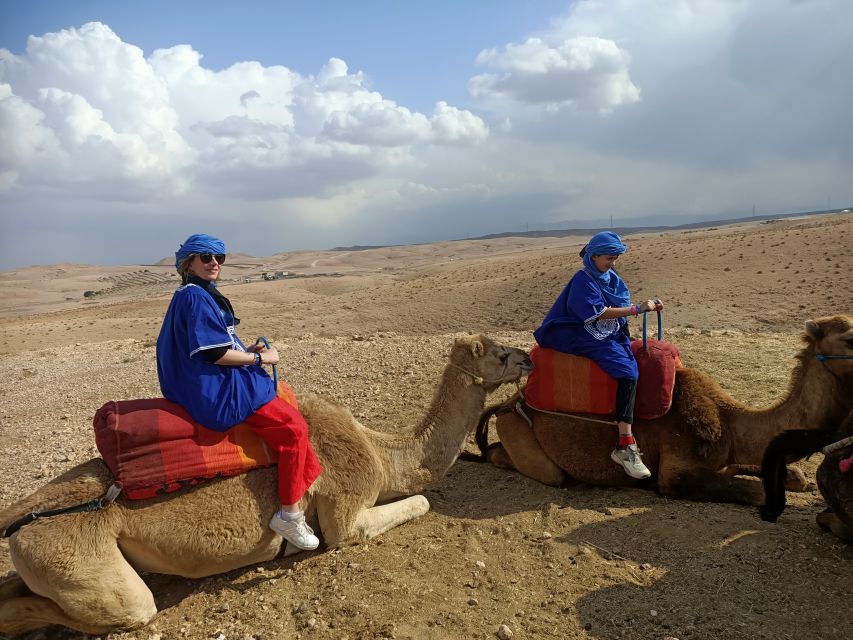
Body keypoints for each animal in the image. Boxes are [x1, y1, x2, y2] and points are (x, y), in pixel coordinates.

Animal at [0, 336, 528, 636]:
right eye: (500, 353)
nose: (529, 357)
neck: (381, 452)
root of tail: (17, 519)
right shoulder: (346, 511)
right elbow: (416, 502)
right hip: (85, 564)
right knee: (122, 607)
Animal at [472, 316, 852, 504]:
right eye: (848, 337)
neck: (730, 423)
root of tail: (508, 403)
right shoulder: (676, 471)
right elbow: (759, 492)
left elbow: (793, 475)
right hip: (527, 440)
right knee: (517, 462)